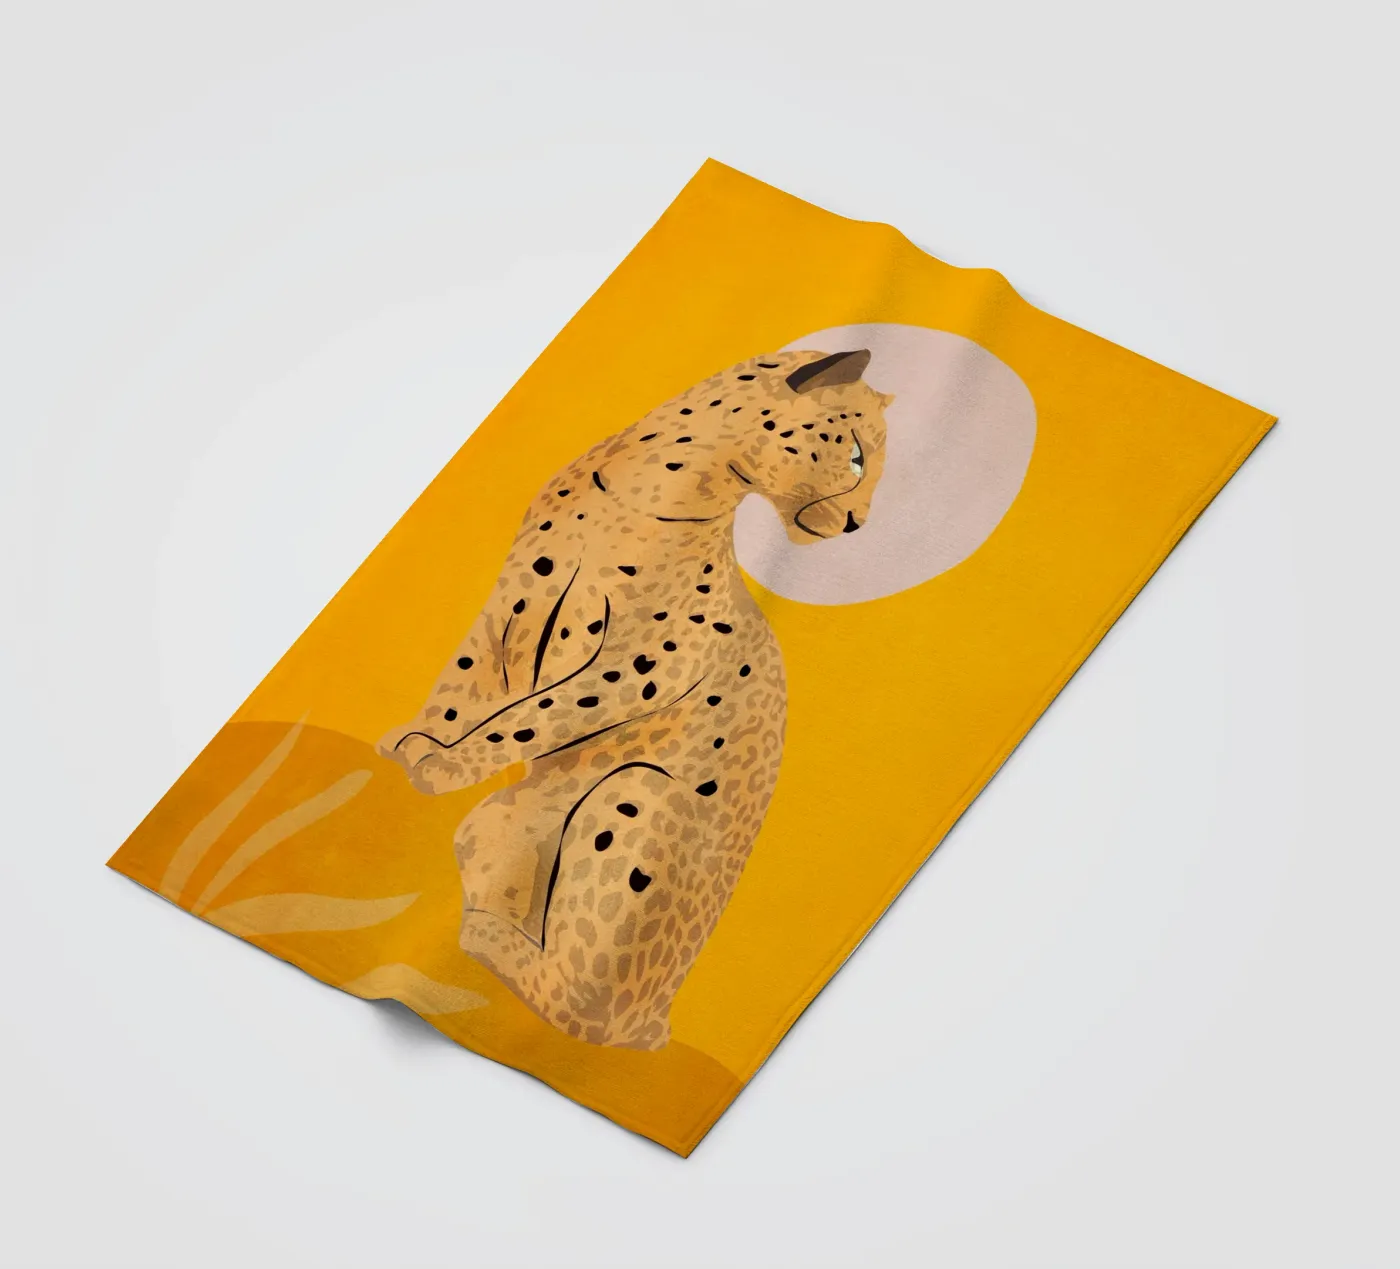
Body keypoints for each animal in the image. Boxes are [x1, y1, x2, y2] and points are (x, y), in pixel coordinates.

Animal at [377, 347, 890, 1049]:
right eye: (859, 457)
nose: (861, 524)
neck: (642, 493)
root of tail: (660, 1017)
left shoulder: (642, 664)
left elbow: (532, 717)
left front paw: (441, 763)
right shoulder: (512, 599)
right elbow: (464, 684)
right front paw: (417, 742)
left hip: (634, 793)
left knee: (583, 1010)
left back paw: (482, 936)